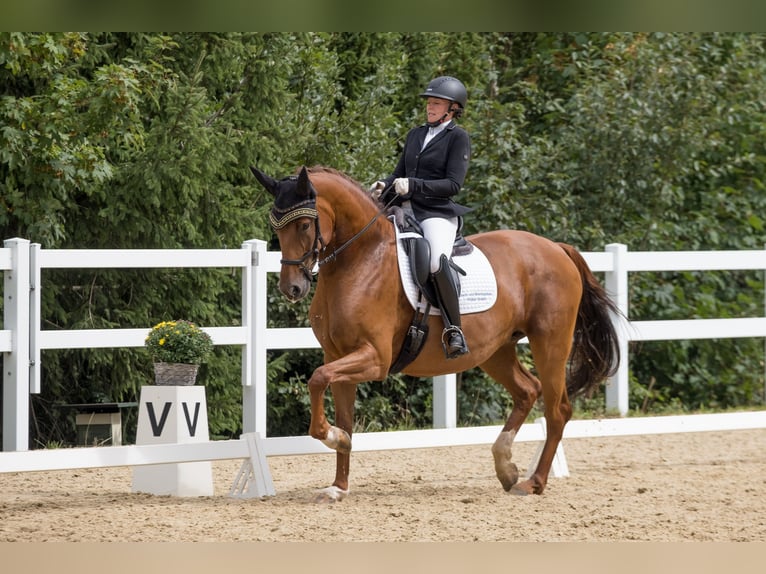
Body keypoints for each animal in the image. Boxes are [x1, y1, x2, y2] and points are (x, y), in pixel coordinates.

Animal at [252, 164, 624, 502]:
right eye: (274, 225)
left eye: (303, 224)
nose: (292, 288)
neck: (360, 259)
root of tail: (557, 248)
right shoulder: (338, 356)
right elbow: (342, 411)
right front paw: (338, 483)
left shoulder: (375, 358)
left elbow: (316, 379)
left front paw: (333, 438)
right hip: (494, 350)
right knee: (527, 390)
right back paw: (505, 467)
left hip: (550, 342)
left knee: (557, 409)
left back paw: (532, 482)